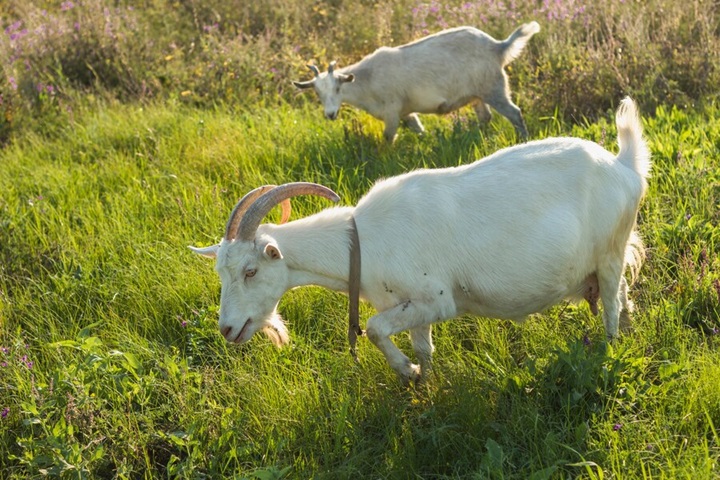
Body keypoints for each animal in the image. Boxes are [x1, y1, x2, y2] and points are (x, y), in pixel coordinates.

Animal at [190, 98, 648, 386]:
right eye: (220, 273)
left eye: (251, 270)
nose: (227, 328)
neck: (362, 240)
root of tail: (624, 166)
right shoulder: (409, 306)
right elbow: (421, 346)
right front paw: (423, 382)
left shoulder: (436, 299)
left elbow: (374, 329)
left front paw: (406, 372)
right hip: (610, 256)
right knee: (623, 293)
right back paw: (629, 331)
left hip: (608, 253)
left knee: (610, 304)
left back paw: (609, 348)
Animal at [294, 21, 540, 142]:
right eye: (317, 93)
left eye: (338, 88)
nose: (330, 114)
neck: (367, 79)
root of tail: (498, 47)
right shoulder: (405, 112)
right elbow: (418, 129)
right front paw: (428, 142)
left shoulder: (392, 110)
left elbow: (387, 138)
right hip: (477, 95)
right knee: (485, 117)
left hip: (494, 88)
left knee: (514, 113)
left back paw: (524, 140)